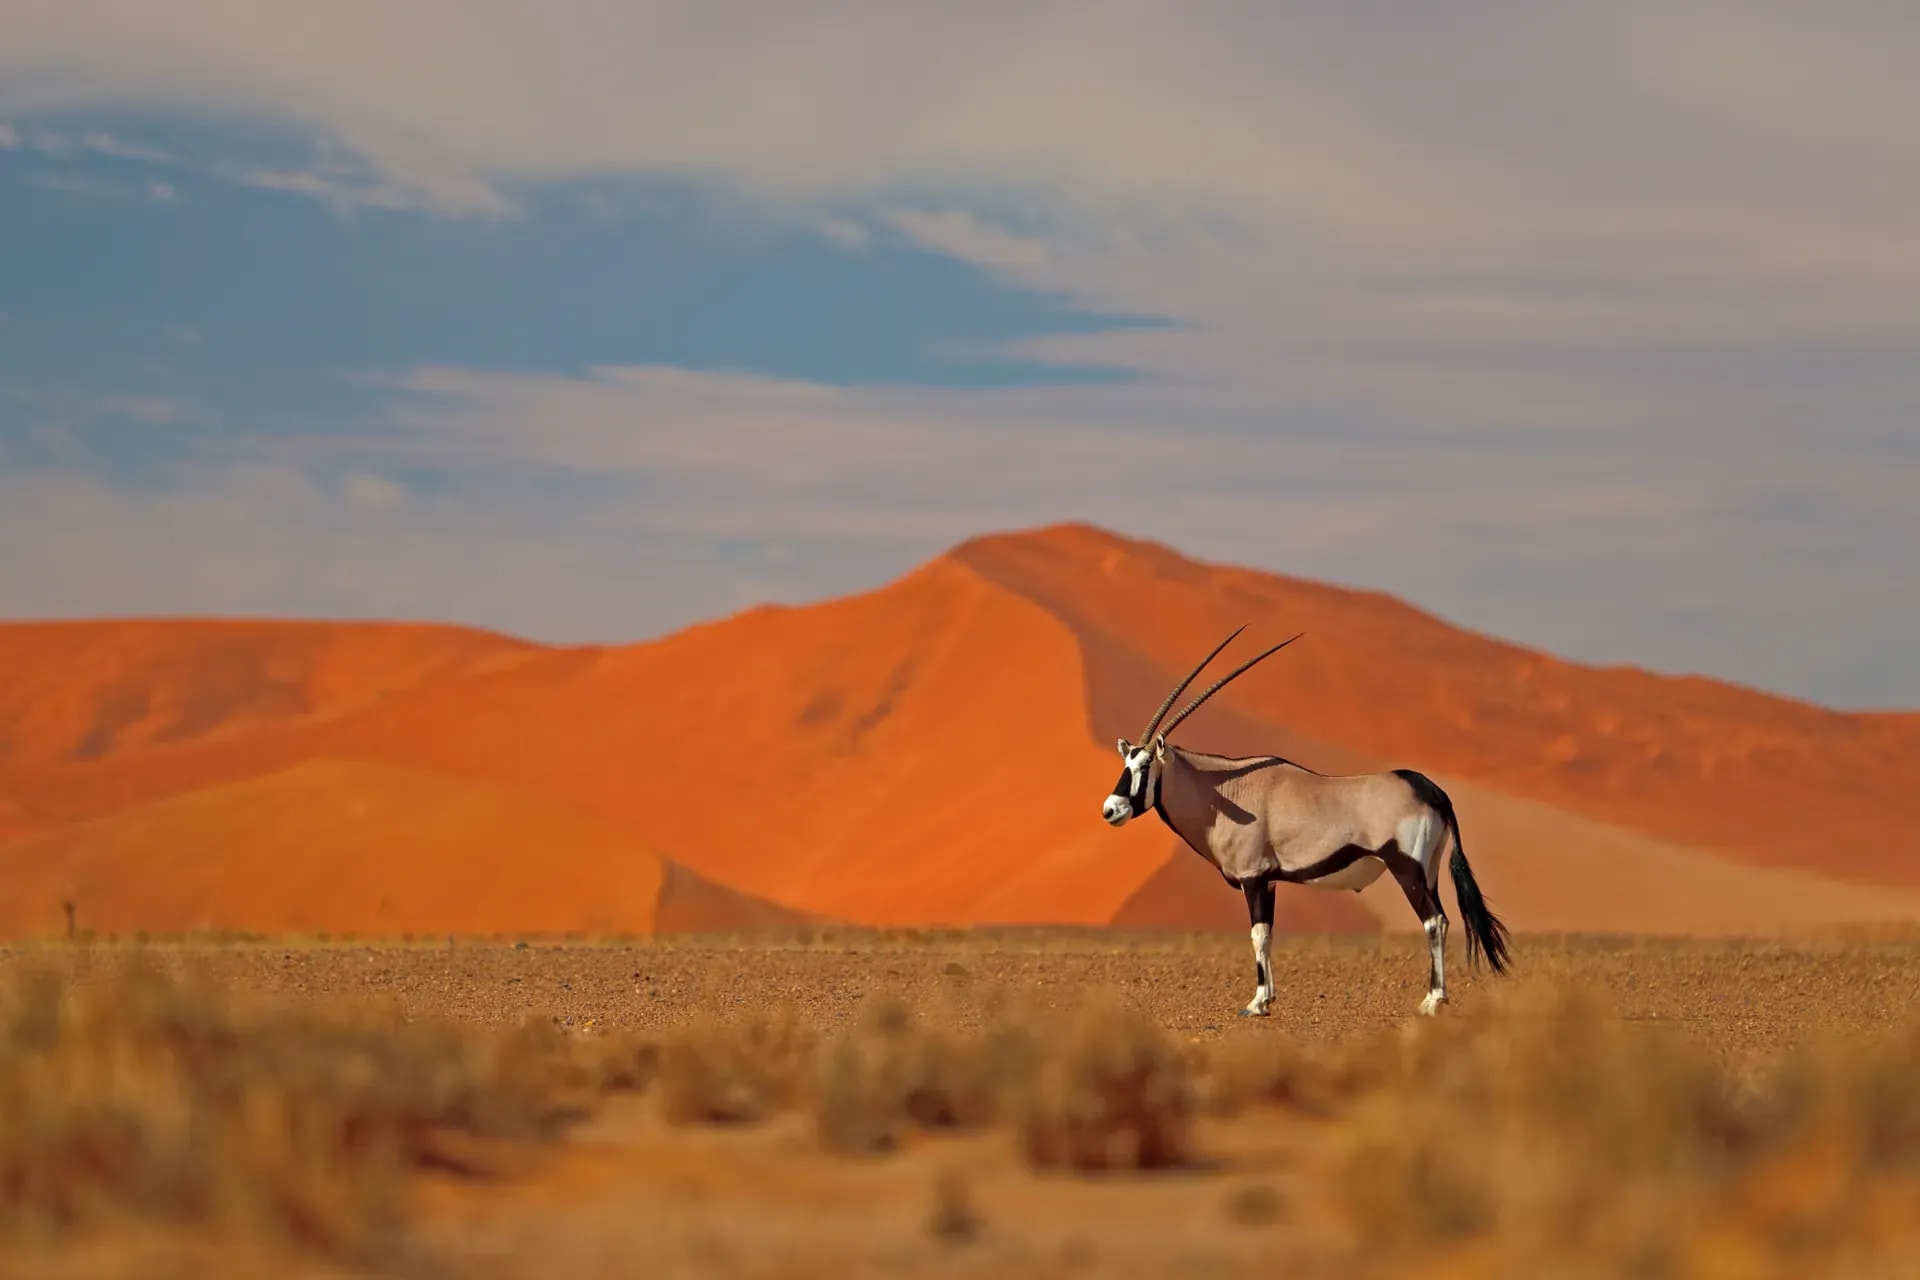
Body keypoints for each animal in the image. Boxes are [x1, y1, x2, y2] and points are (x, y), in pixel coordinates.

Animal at [1101, 626, 1512, 1017]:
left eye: (1145, 765)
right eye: (1126, 762)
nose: (1111, 809)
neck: (1223, 791)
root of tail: (1433, 791)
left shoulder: (1253, 877)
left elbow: (1257, 935)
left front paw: (1256, 1003)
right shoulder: (1269, 881)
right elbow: (1268, 934)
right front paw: (1267, 998)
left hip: (1407, 870)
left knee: (1434, 922)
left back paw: (1432, 1001)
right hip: (1429, 872)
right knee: (1442, 919)